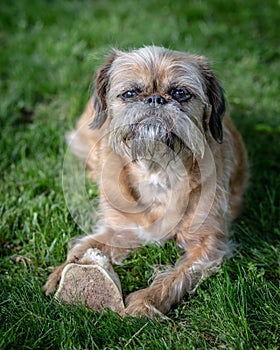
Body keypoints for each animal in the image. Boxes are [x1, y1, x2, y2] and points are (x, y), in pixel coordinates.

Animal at [42, 45, 248, 318]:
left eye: (180, 93)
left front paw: (145, 302)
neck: (156, 171)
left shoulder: (208, 246)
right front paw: (61, 274)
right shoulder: (123, 230)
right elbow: (82, 248)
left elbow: (176, 277)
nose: (155, 99)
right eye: (130, 93)